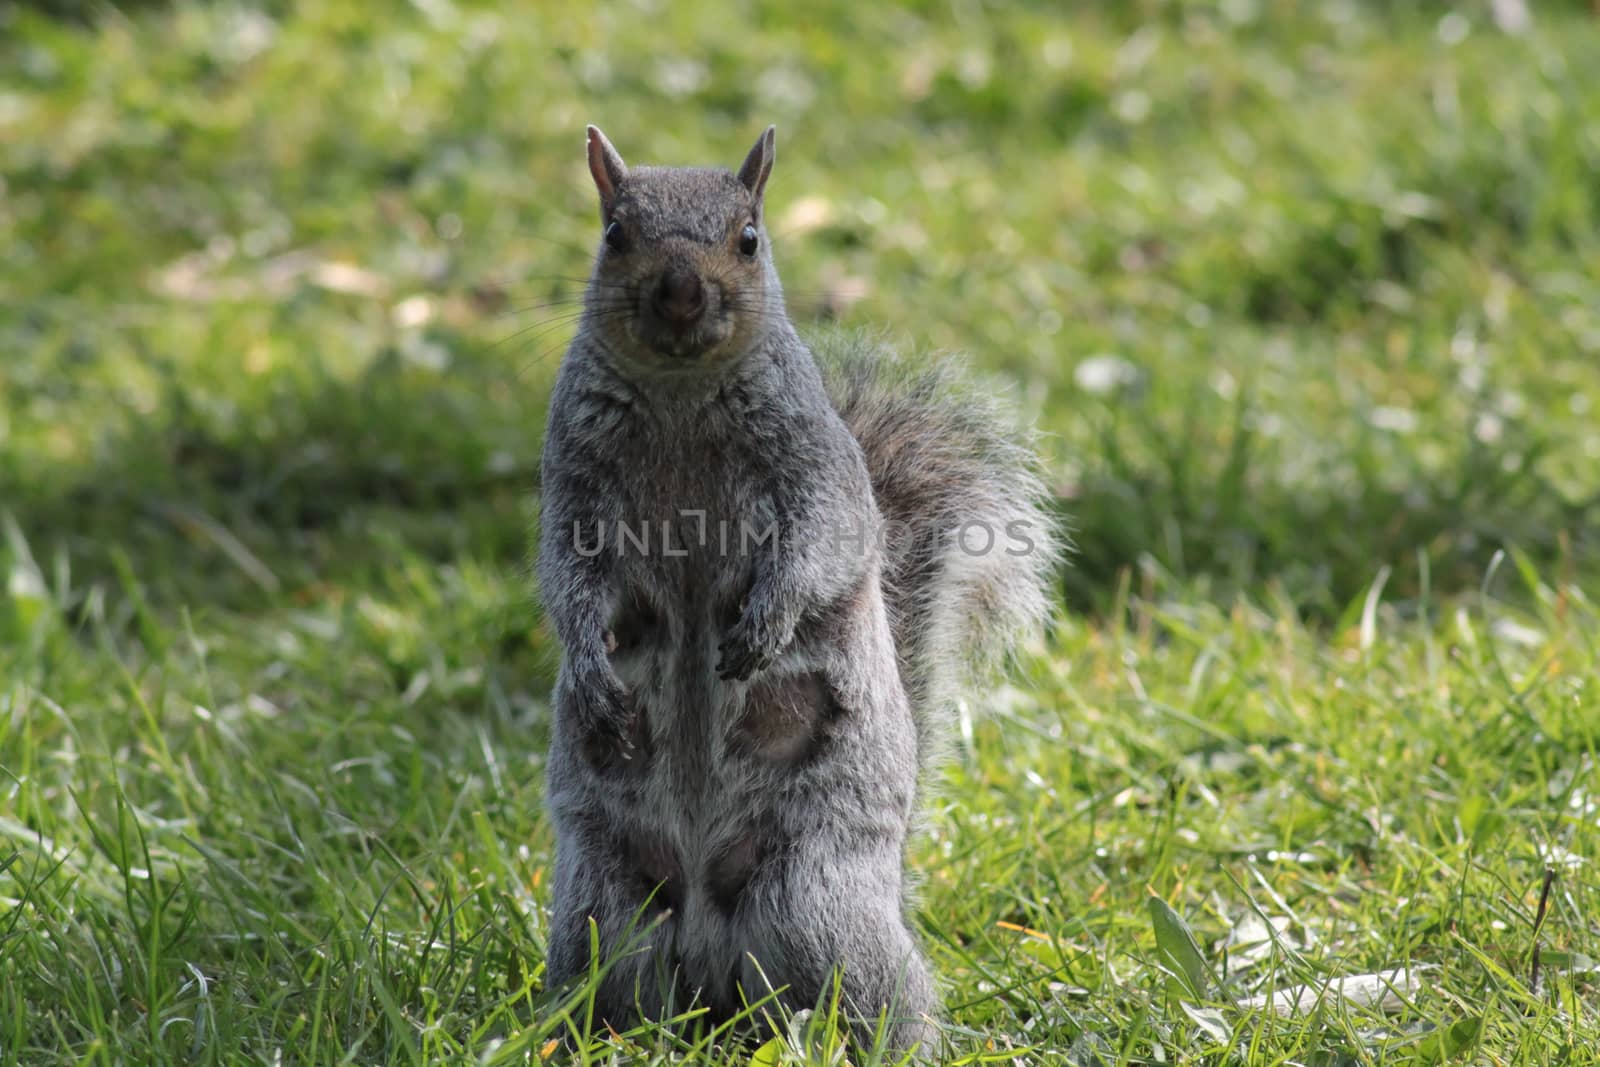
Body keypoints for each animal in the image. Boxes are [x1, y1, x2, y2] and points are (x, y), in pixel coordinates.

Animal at [537, 127, 1062, 1062]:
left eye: (750, 237)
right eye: (614, 235)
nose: (680, 292)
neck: (680, 394)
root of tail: (711, 963)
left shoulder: (815, 470)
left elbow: (819, 546)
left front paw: (766, 624)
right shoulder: (575, 488)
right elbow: (571, 582)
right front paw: (592, 669)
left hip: (813, 899)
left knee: (863, 998)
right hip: (609, 907)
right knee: (623, 984)